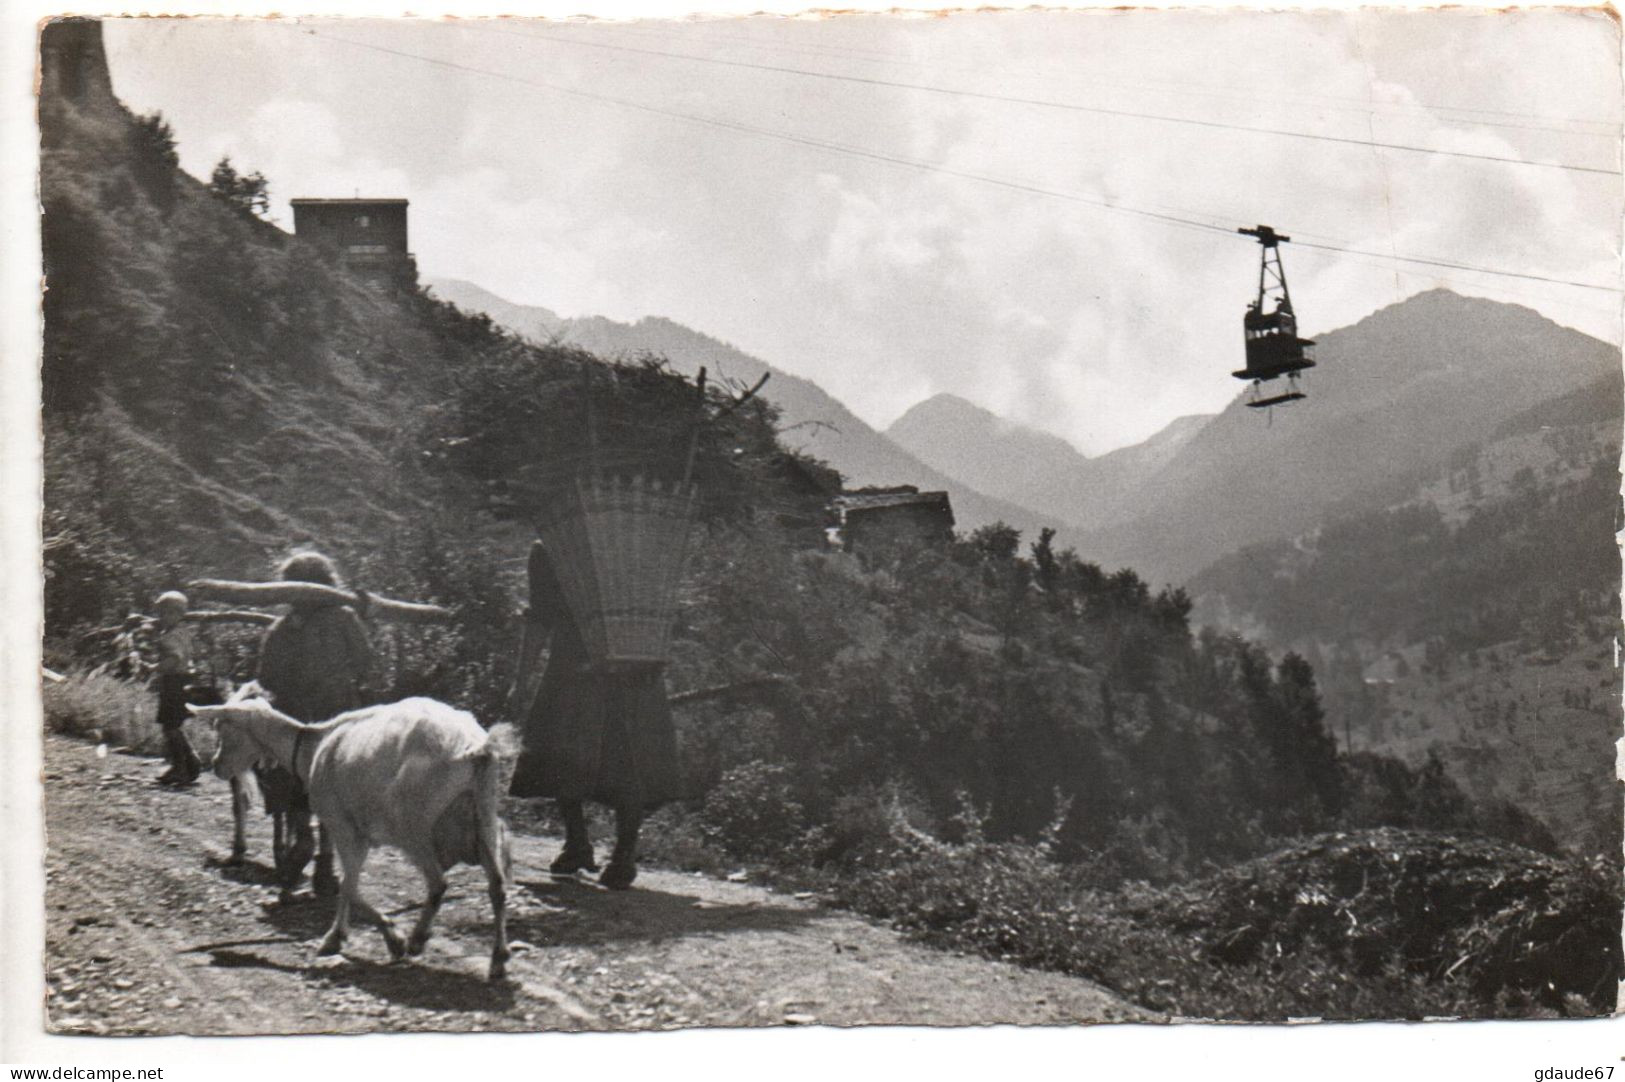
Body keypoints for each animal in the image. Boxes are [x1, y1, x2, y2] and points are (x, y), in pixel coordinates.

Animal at [189, 682, 520, 974]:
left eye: (223, 726)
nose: (216, 765)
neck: (312, 749)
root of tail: (475, 747)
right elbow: (350, 884)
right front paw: (369, 935)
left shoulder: (345, 827)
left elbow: (349, 885)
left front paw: (352, 938)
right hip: (484, 816)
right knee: (498, 886)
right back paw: (498, 960)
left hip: (414, 828)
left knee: (438, 883)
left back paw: (417, 940)